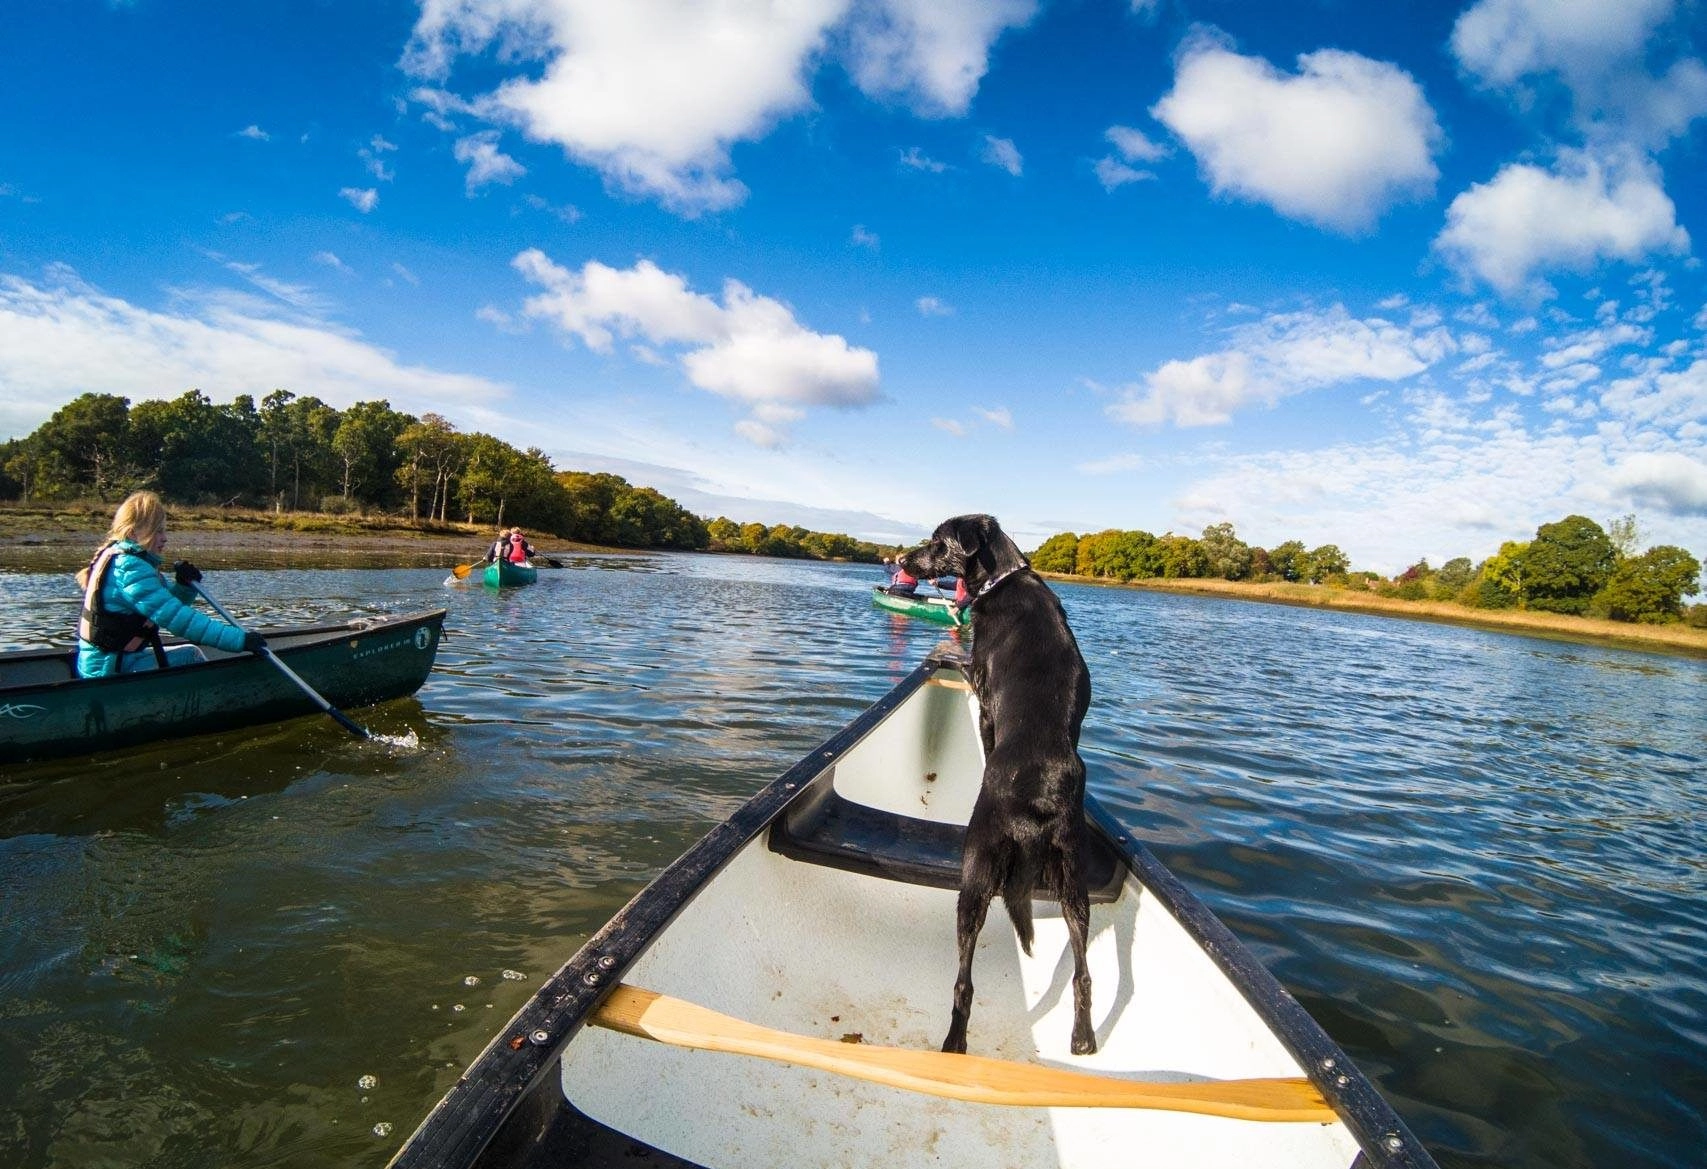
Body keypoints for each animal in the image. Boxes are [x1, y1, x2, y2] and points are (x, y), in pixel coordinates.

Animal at [894, 511, 1092, 1058]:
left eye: (937, 542)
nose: (901, 558)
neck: (1005, 577)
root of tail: (1039, 802)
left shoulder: (983, 697)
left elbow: (968, 681)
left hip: (976, 874)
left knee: (964, 979)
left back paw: (954, 1043)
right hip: (1075, 884)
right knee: (1084, 974)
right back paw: (1083, 1038)